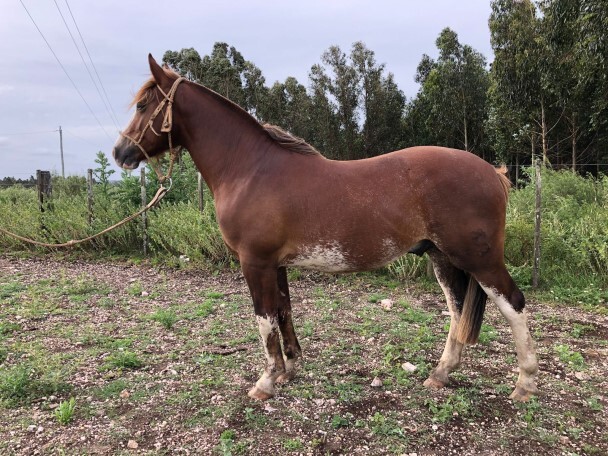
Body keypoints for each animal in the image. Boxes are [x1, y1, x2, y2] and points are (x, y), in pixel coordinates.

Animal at [113, 56, 536, 402]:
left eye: (143, 105)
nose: (120, 153)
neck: (250, 169)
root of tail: (493, 173)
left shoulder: (255, 263)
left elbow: (264, 319)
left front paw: (265, 382)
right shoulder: (275, 264)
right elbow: (283, 311)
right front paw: (290, 370)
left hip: (479, 259)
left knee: (513, 304)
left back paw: (525, 384)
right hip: (443, 258)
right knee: (458, 310)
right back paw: (440, 374)